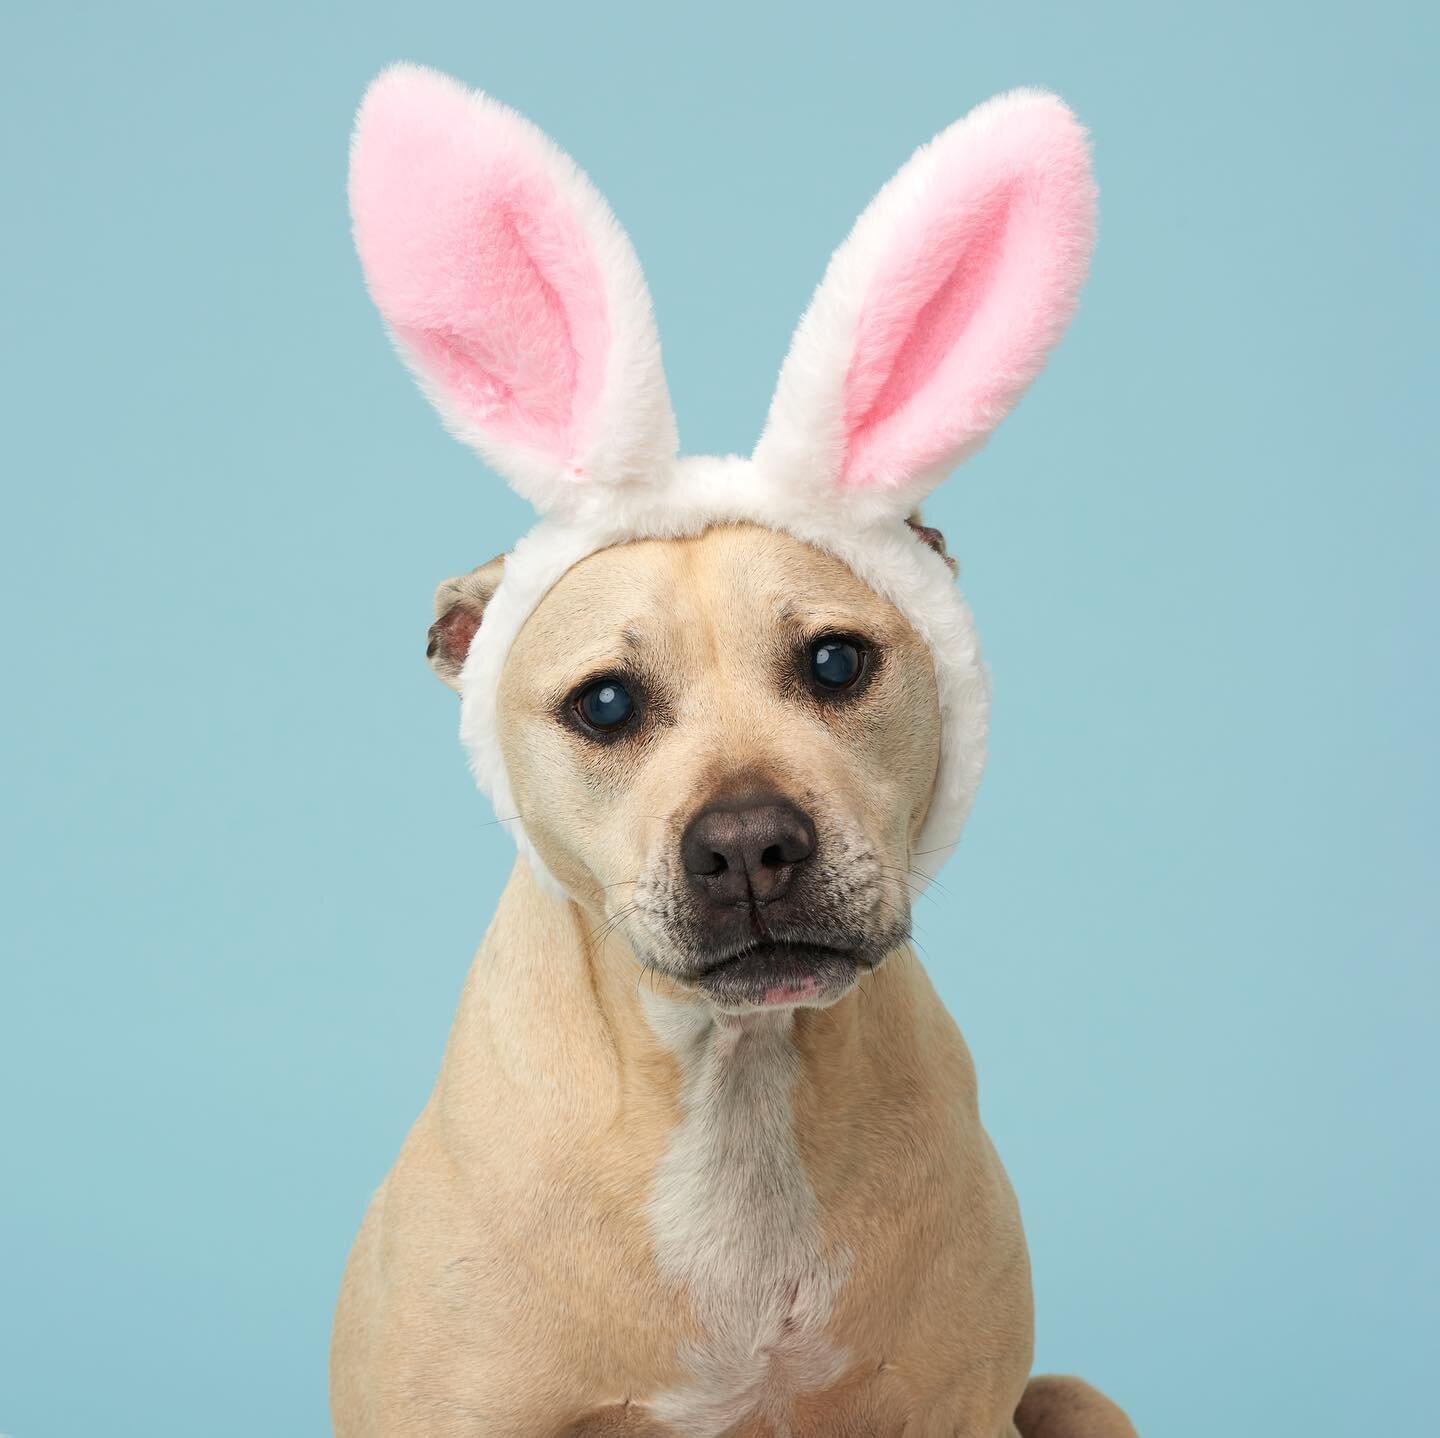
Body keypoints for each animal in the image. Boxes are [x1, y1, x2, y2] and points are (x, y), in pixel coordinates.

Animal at [329, 61, 1134, 1433]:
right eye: (604, 704)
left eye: (837, 662)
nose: (751, 843)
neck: (734, 1085)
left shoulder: (958, 1401)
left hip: (1076, 1395)